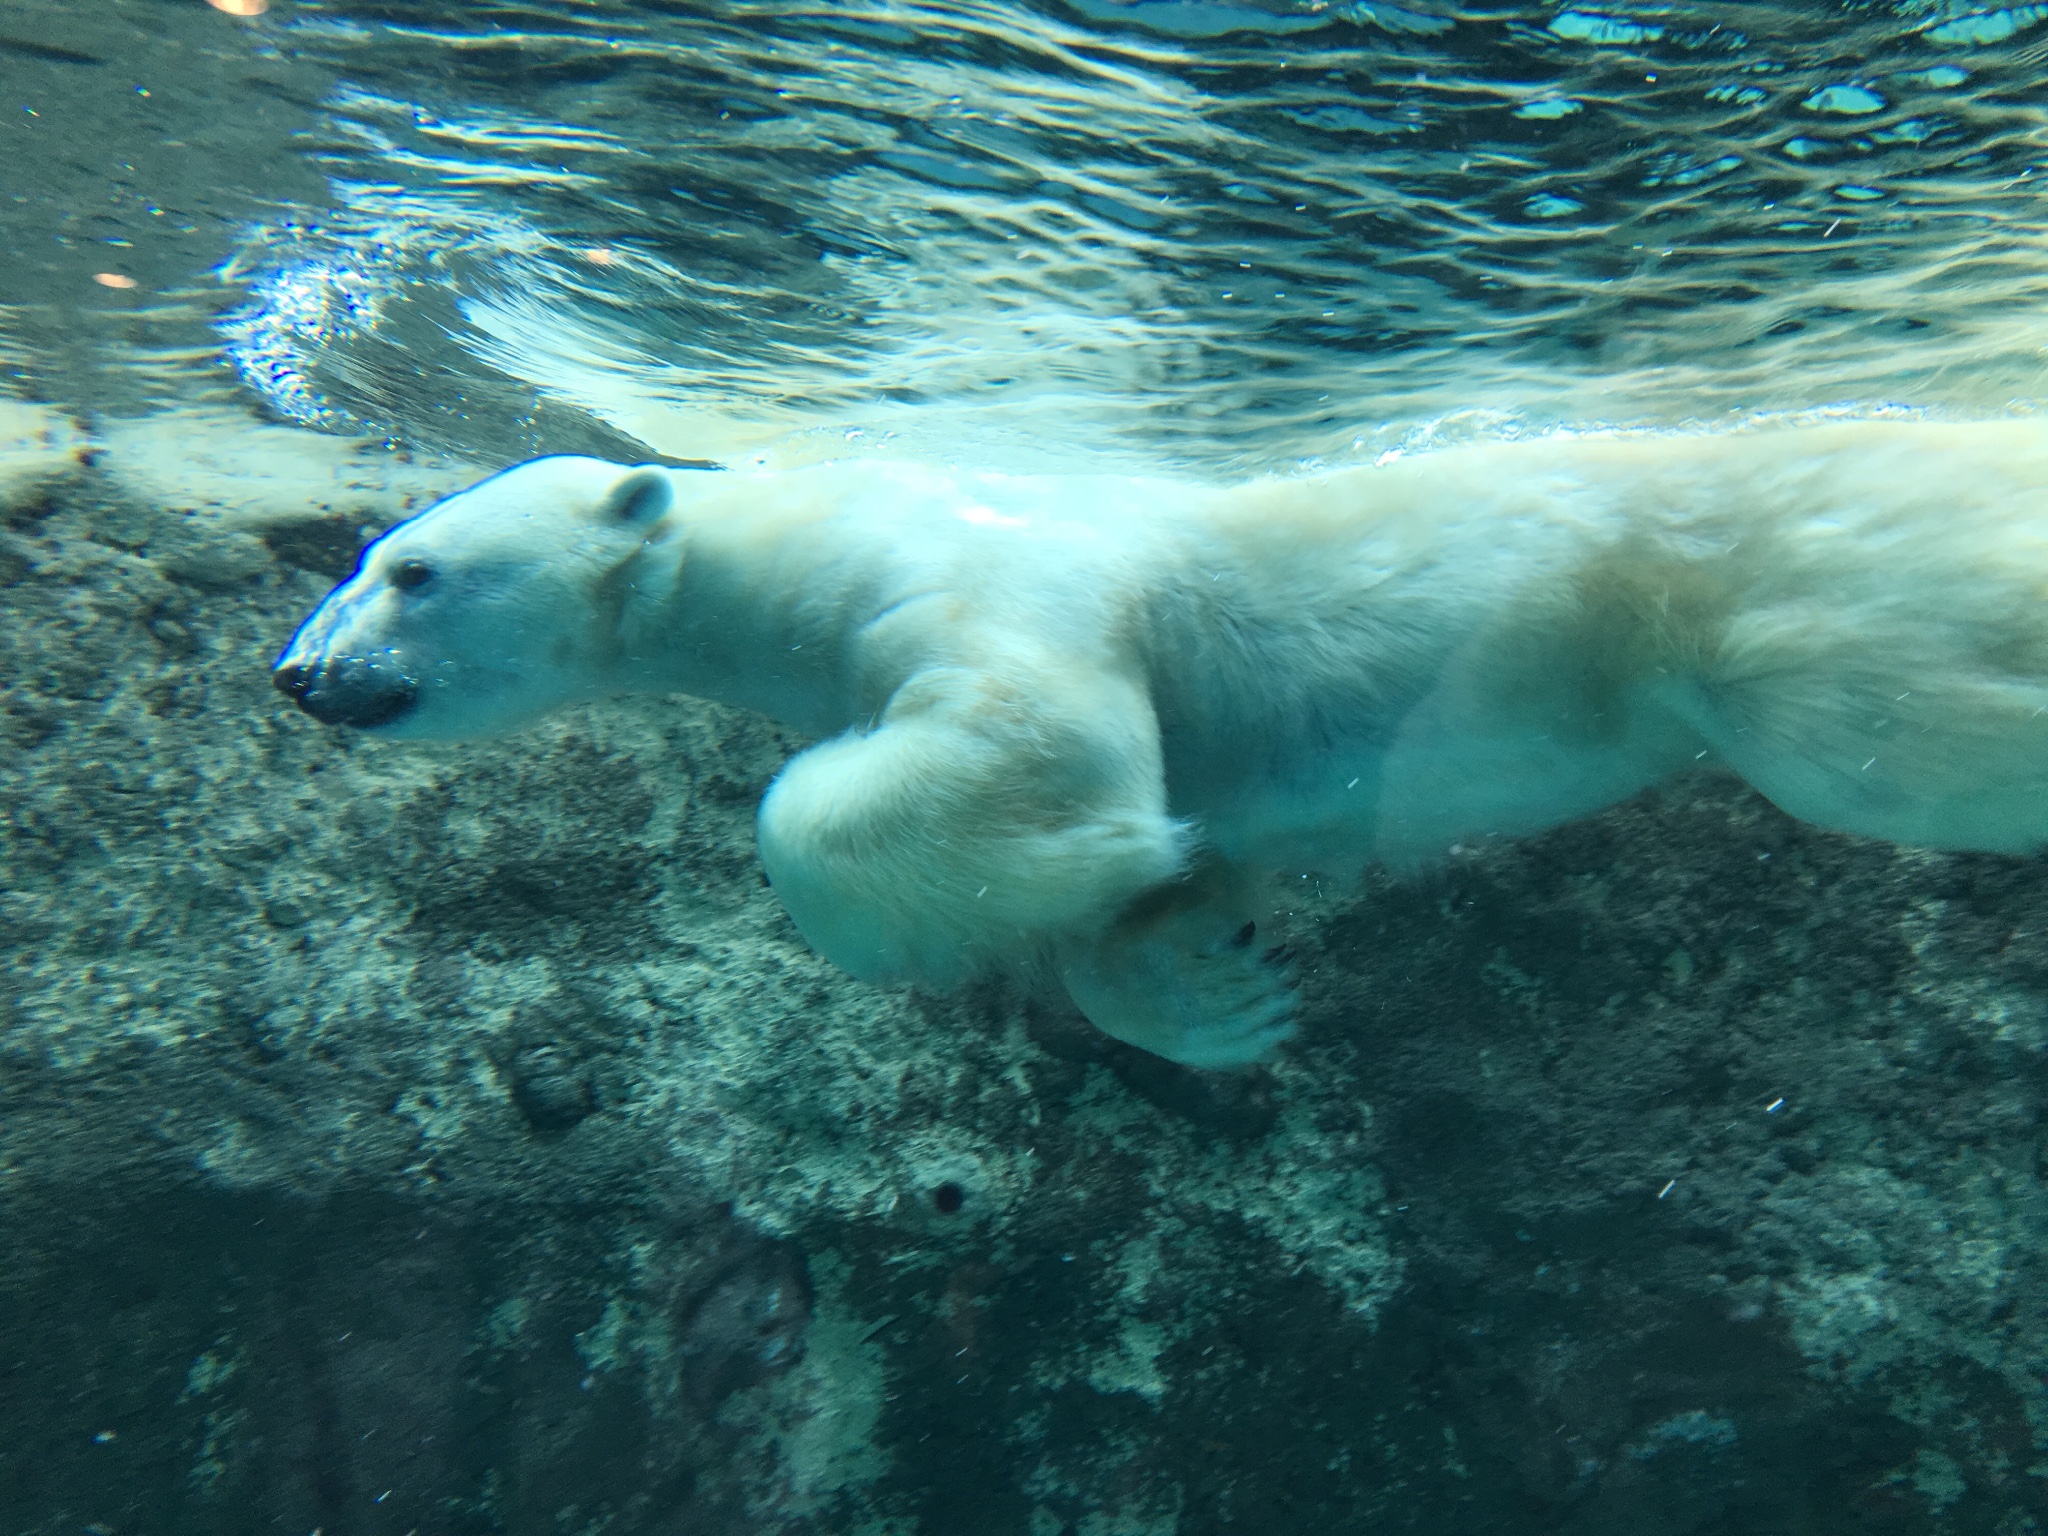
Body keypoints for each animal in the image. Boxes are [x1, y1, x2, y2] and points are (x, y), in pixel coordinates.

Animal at [276, 421, 2048, 1073]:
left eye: (410, 568)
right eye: (367, 554)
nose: (301, 674)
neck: (830, 534)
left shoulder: (993, 588)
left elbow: (1042, 753)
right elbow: (1188, 860)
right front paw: (1216, 986)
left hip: (1746, 574)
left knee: (1862, 724)